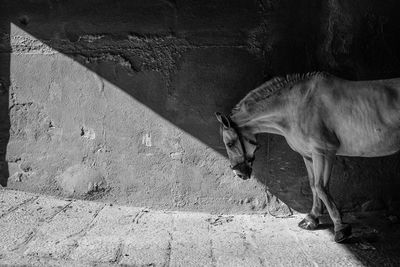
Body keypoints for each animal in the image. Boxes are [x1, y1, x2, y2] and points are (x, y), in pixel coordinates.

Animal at [217, 72, 400, 244]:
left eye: (230, 143)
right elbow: (313, 185)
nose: (239, 173)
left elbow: (321, 187)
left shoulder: (324, 152)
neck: (297, 107)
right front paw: (312, 219)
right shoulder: (308, 155)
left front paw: (340, 228)